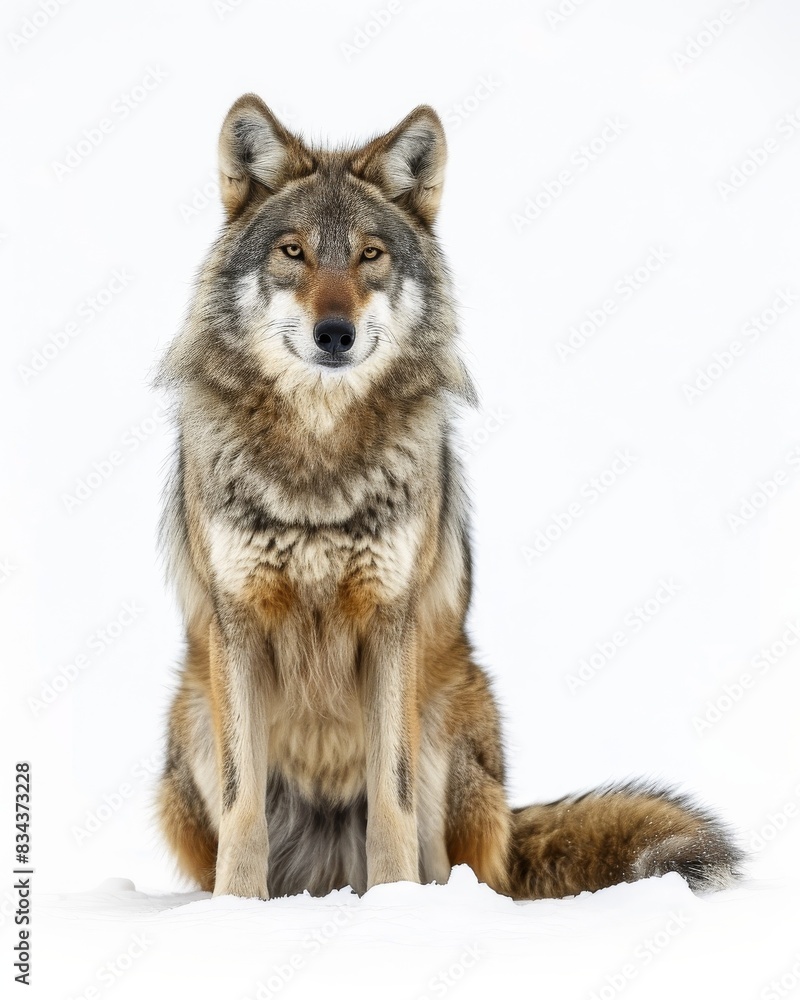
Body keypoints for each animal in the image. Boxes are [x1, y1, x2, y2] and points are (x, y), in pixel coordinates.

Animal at [156, 95, 742, 900]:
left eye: (370, 255)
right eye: (294, 252)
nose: (333, 333)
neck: (319, 457)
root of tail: (324, 874)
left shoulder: (390, 622)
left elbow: (391, 801)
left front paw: (396, 909)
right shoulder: (236, 622)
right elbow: (244, 812)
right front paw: (236, 911)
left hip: (449, 720)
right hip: (190, 721)